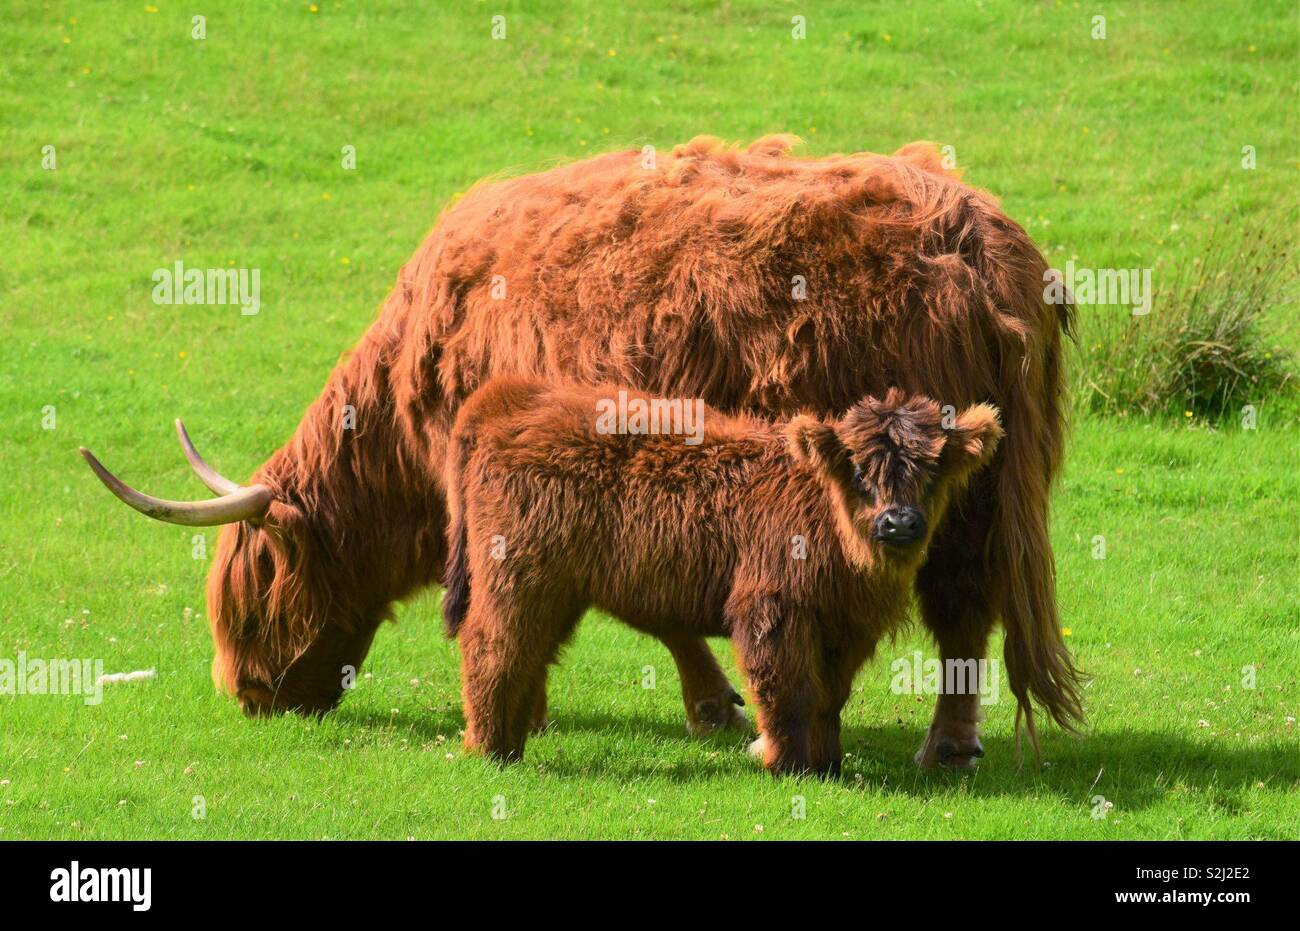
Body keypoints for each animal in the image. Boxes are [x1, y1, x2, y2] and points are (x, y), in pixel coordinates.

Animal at [441, 377, 1003, 773]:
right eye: (861, 472)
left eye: (930, 472)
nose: (899, 523)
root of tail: (509, 394)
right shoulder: (773, 609)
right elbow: (789, 692)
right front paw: (788, 765)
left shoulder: (846, 626)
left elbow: (829, 697)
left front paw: (828, 763)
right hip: (516, 576)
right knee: (494, 645)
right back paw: (489, 748)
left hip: (556, 589)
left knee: (531, 652)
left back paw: (510, 744)